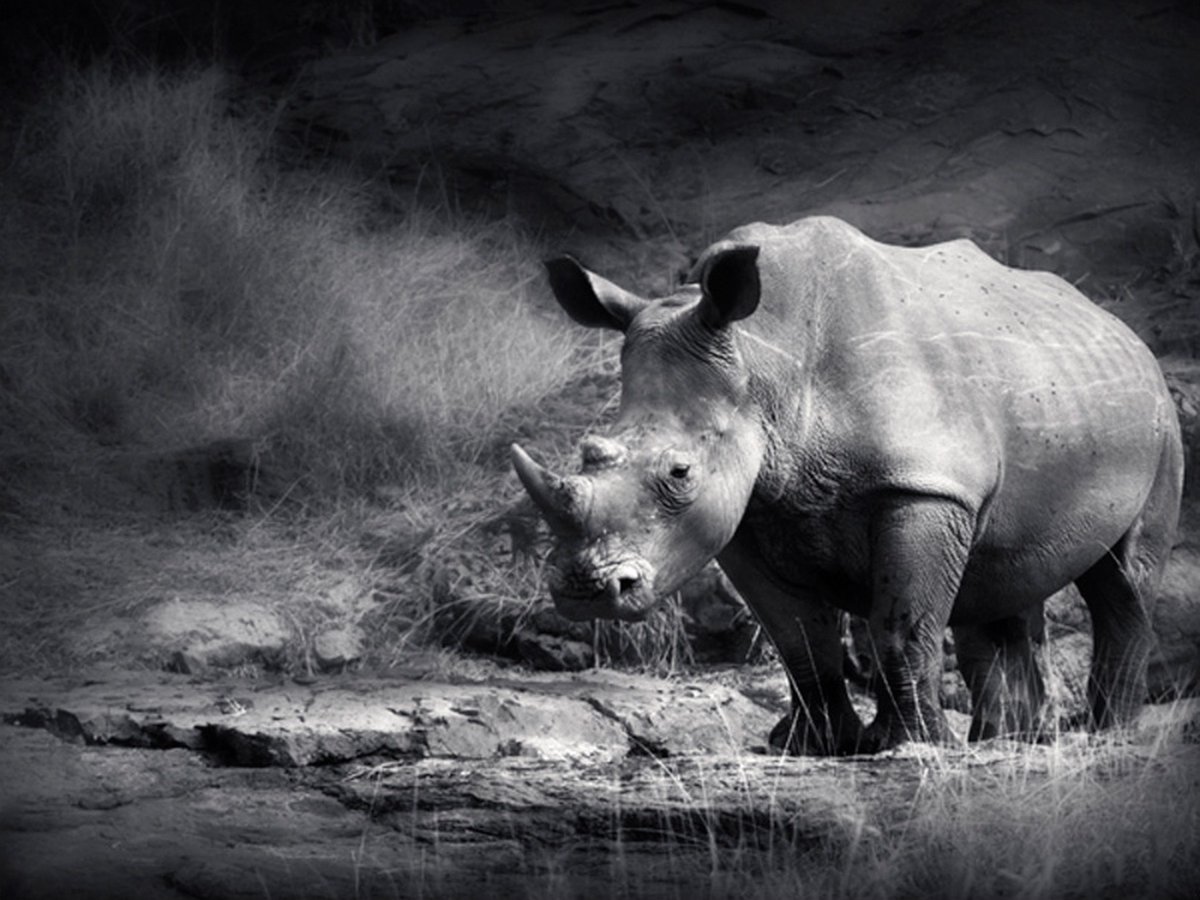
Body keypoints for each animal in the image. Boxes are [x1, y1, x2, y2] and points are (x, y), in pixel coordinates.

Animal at [511, 216, 1182, 754]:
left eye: (680, 473)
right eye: (588, 453)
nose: (585, 591)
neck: (765, 362)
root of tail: (1120, 327)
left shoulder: (922, 486)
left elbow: (900, 625)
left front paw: (913, 747)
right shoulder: (749, 514)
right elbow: (800, 641)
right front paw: (814, 747)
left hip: (1159, 420)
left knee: (1121, 580)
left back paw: (1105, 736)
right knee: (999, 582)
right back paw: (1009, 741)